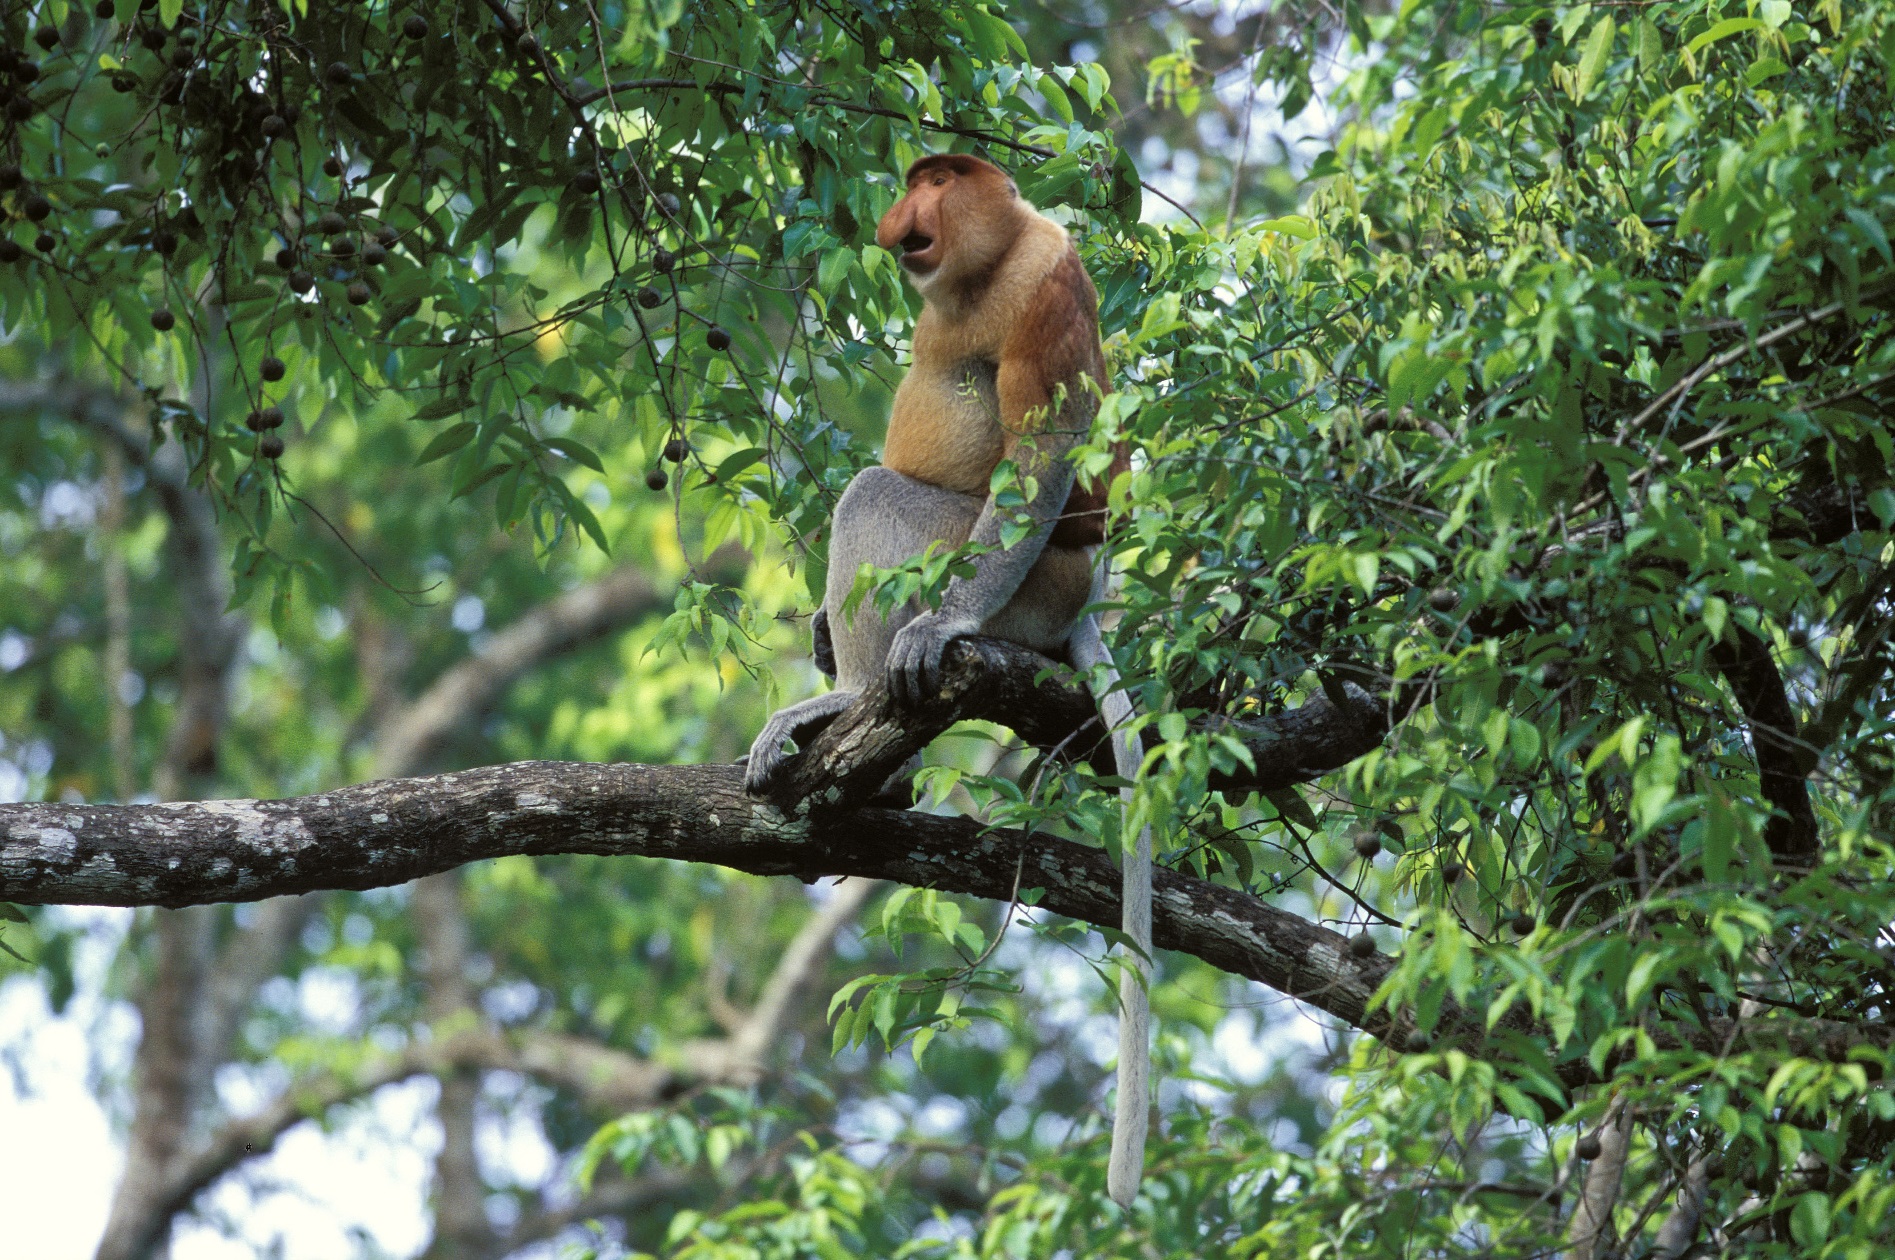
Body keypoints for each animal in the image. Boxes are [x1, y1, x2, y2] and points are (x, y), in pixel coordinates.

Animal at [742, 152, 1152, 1205]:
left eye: (939, 181)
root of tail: (1082, 601)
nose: (900, 217)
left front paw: (933, 630)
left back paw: (847, 713)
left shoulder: (1045, 282)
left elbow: (1042, 444)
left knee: (873, 496)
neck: (987, 263)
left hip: (1013, 574)